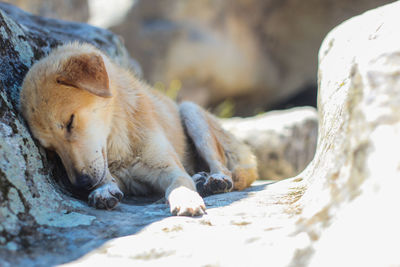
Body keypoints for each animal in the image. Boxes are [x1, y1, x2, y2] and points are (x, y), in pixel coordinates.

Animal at [19, 42, 260, 218]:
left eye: (70, 122)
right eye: (50, 149)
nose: (81, 184)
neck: (120, 141)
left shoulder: (171, 169)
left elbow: (180, 184)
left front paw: (187, 198)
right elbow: (107, 178)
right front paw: (103, 190)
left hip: (191, 111)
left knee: (224, 166)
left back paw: (215, 180)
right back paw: (201, 178)